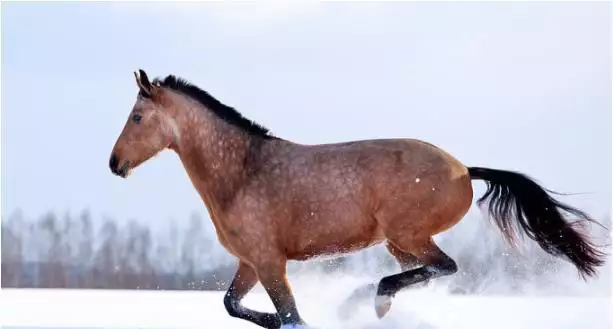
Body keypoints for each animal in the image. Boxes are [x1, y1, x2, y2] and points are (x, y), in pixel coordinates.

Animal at [109, 69, 604, 328]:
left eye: (136, 117)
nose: (115, 164)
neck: (242, 172)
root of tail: (465, 169)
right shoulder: (249, 262)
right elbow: (232, 305)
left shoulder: (270, 262)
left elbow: (289, 315)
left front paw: (298, 321)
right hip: (400, 243)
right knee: (424, 273)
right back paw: (369, 302)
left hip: (408, 233)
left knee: (443, 267)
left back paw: (371, 299)